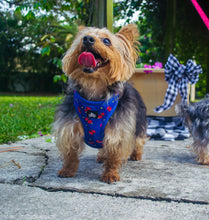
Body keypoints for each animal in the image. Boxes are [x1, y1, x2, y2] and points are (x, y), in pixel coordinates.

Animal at [52, 24, 147, 183]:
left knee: (139, 139)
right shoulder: (70, 128)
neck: (93, 86)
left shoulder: (118, 131)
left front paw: (110, 174)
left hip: (139, 122)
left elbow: (114, 155)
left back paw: (136, 154)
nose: (87, 39)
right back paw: (102, 156)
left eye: (107, 41)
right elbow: (71, 152)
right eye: (83, 37)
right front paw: (68, 170)